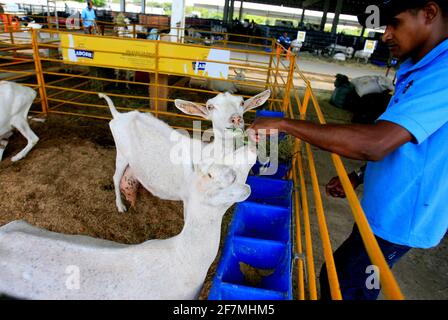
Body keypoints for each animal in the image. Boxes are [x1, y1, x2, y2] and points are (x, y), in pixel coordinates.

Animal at [101, 89, 270, 211]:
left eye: (241, 102)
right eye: (210, 106)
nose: (235, 119)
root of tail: (119, 115)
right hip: (121, 153)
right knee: (116, 177)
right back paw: (120, 206)